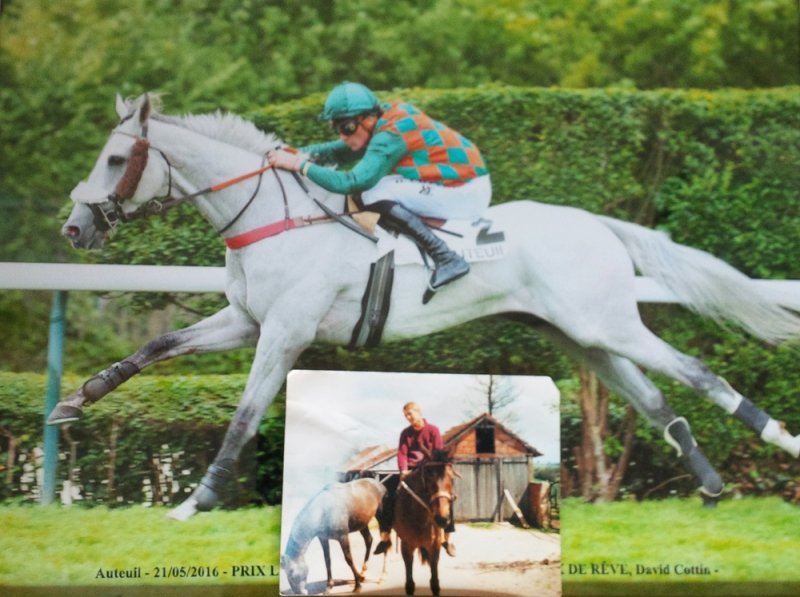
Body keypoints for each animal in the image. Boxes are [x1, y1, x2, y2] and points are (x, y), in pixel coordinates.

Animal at [51, 93, 800, 520]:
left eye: (116, 158)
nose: (75, 229)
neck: (274, 219)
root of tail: (597, 223)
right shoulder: (246, 321)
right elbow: (156, 345)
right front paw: (72, 401)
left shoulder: (284, 333)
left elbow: (243, 416)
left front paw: (195, 501)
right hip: (580, 334)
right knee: (654, 398)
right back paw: (710, 484)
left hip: (606, 323)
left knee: (699, 372)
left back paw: (780, 440)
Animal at [393, 450, 457, 596]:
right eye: (428, 479)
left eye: (452, 479)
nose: (441, 519)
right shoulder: (406, 547)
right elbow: (410, 584)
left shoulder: (434, 547)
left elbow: (435, 583)